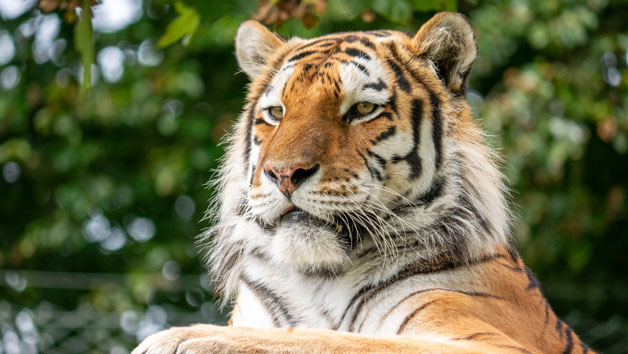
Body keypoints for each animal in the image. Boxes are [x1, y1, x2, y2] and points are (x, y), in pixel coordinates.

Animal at [132, 11, 592, 354]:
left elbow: (334, 339)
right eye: (277, 113)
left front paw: (183, 337)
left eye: (362, 110)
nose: (283, 175)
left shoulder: (489, 343)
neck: (316, 278)